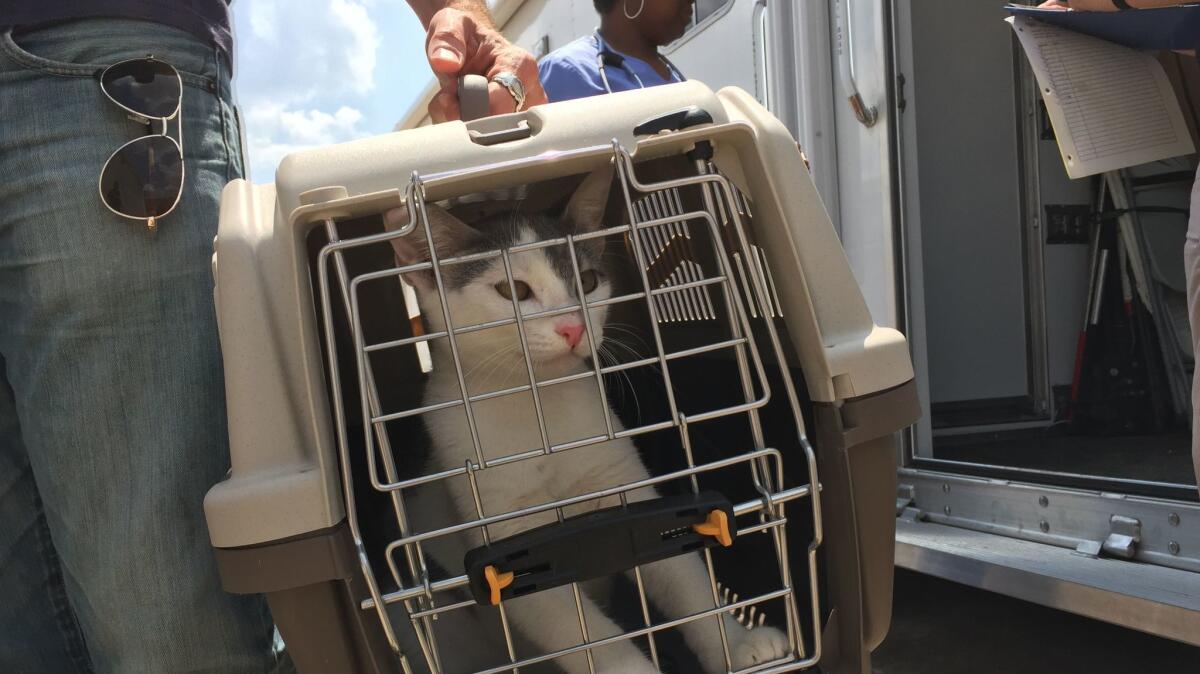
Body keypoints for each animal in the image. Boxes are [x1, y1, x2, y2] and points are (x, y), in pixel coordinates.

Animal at [388, 166, 792, 666]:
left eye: (587, 280)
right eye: (512, 290)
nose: (573, 326)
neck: (541, 411)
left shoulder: (624, 489)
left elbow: (685, 580)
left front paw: (734, 644)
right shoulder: (505, 539)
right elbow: (591, 640)